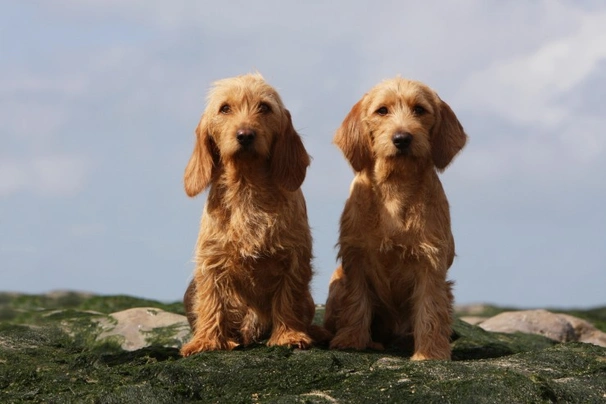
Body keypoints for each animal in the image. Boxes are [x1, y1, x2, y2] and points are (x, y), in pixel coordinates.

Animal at [179, 73, 328, 356]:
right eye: (225, 108)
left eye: (264, 107)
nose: (245, 135)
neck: (247, 188)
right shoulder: (211, 260)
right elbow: (211, 299)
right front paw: (207, 340)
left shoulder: (293, 258)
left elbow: (288, 297)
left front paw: (289, 335)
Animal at [324, 76, 470, 360]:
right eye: (382, 110)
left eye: (419, 110)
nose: (402, 138)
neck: (396, 185)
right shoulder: (356, 258)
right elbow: (356, 302)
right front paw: (351, 340)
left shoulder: (430, 262)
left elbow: (430, 309)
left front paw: (430, 353)